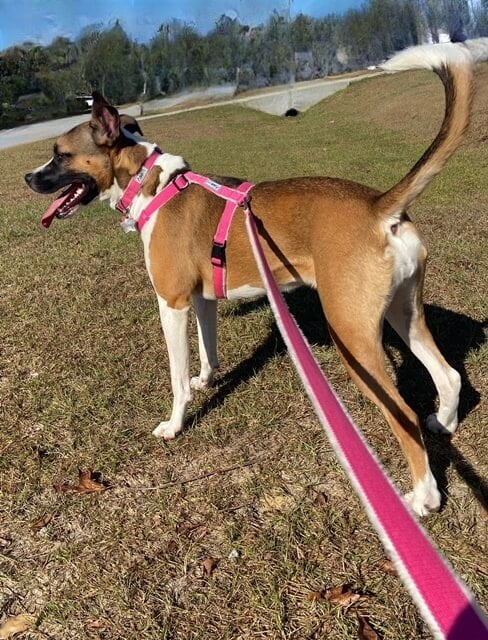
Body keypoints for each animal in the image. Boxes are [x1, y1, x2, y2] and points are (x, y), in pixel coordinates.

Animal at [23, 42, 488, 516]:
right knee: (449, 376)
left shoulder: (172, 303)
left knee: (404, 416)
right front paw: (207, 380)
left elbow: (177, 377)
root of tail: (379, 206)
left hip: (353, 337)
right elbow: (207, 351)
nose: (27, 177)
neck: (150, 184)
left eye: (59, 153)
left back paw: (424, 496)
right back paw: (444, 423)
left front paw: (175, 423)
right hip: (403, 312)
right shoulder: (202, 300)